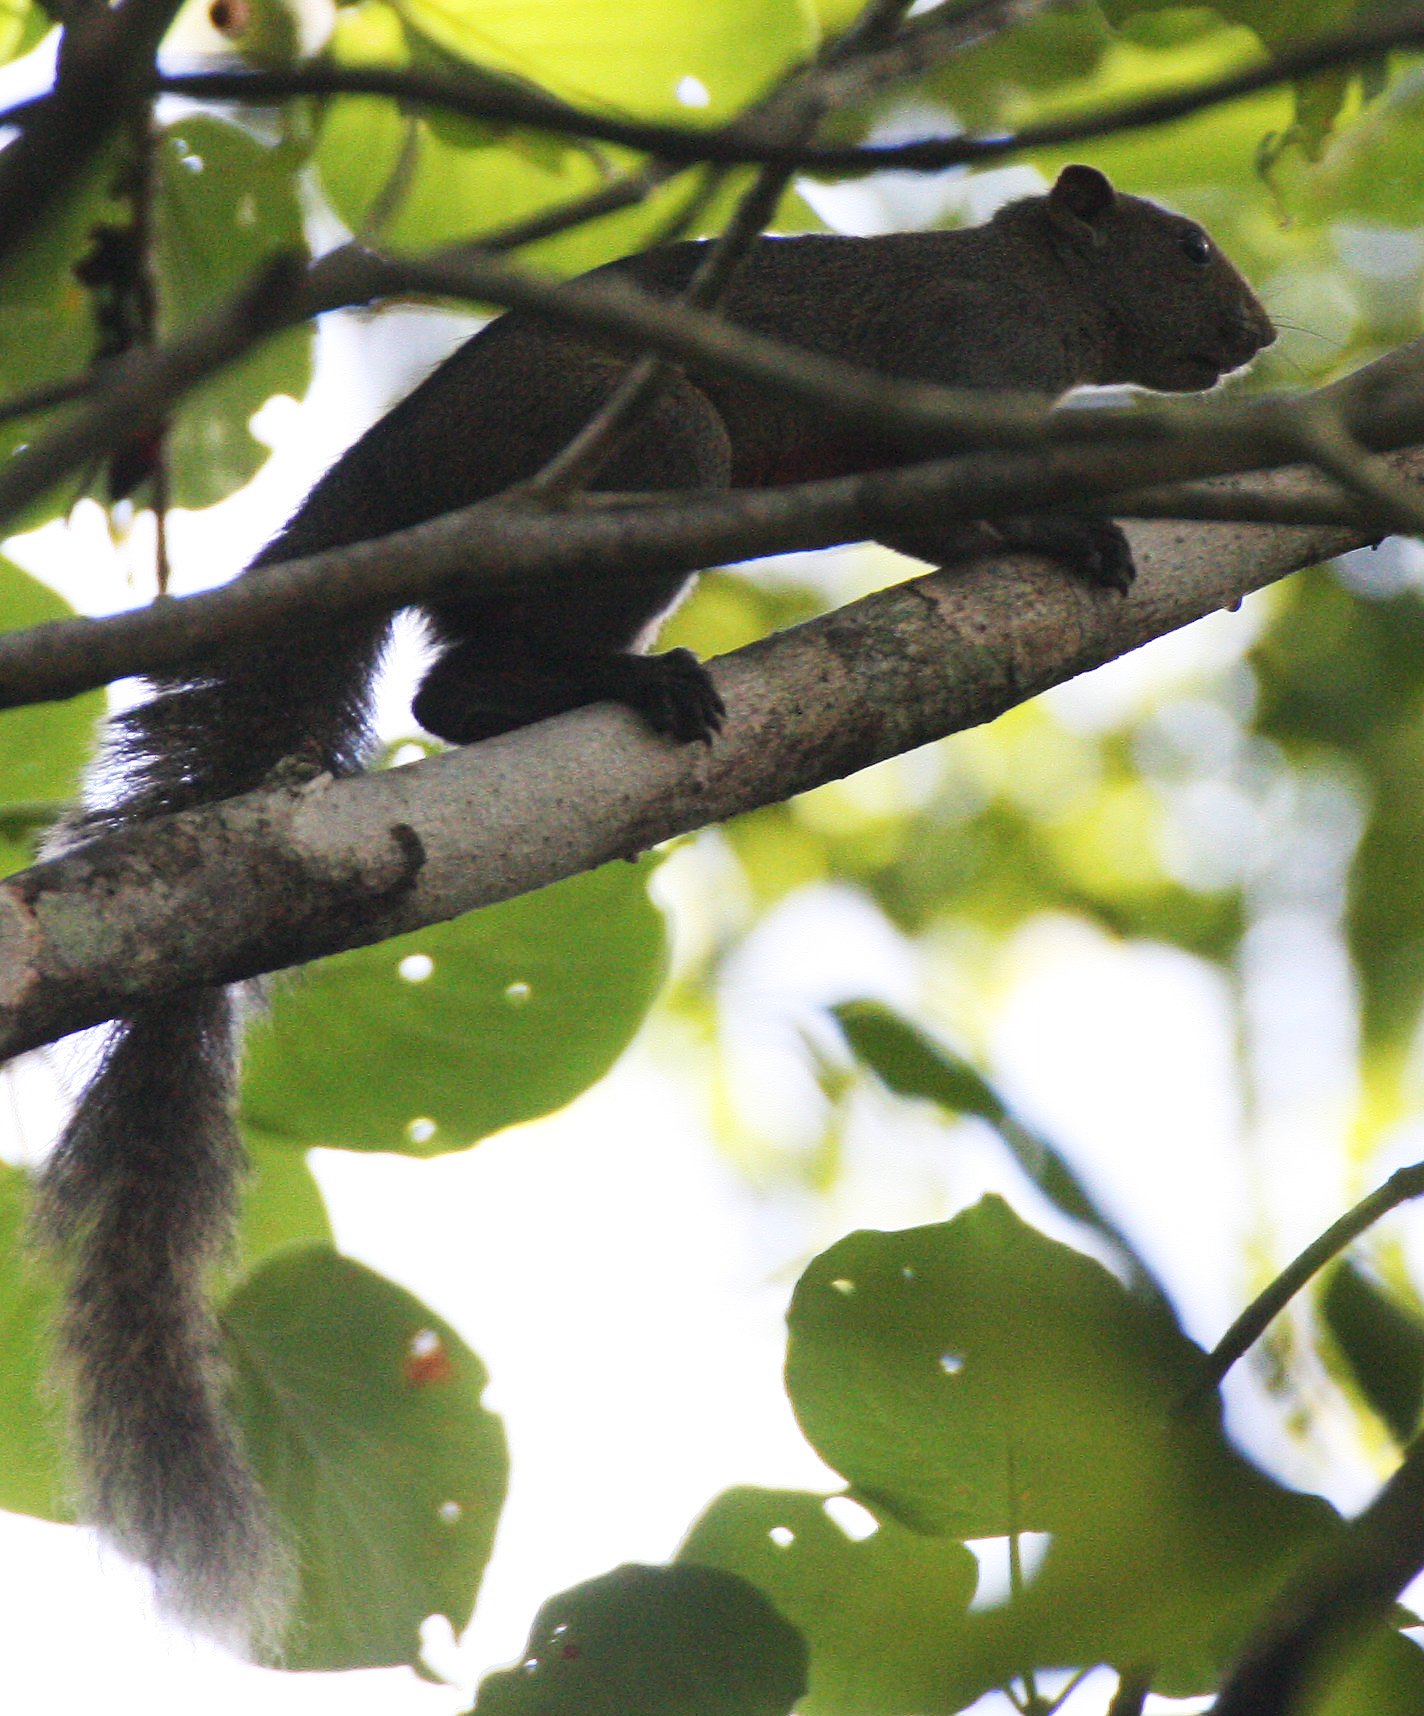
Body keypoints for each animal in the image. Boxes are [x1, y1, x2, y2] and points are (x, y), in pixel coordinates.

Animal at [29, 164, 1274, 1648]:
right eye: (1187, 246)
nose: (1262, 335)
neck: (1037, 286)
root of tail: (389, 476)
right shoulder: (953, 368)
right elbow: (935, 509)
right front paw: (1066, 525)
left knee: (455, 679)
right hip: (652, 445)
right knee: (465, 678)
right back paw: (638, 685)